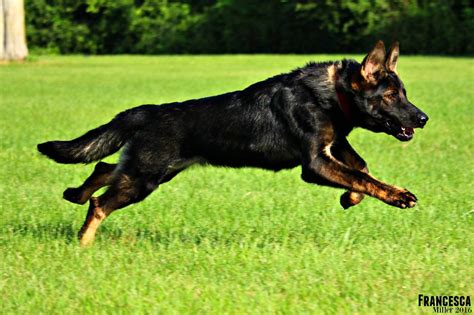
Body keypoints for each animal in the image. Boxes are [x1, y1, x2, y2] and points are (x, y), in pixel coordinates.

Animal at [38, 40, 430, 246]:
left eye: (404, 93)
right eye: (391, 95)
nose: (424, 118)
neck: (332, 93)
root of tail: (146, 111)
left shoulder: (333, 147)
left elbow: (362, 170)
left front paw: (351, 198)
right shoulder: (315, 163)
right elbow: (362, 175)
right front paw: (398, 195)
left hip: (154, 170)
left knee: (103, 167)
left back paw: (76, 193)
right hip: (144, 178)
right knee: (100, 204)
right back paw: (84, 242)